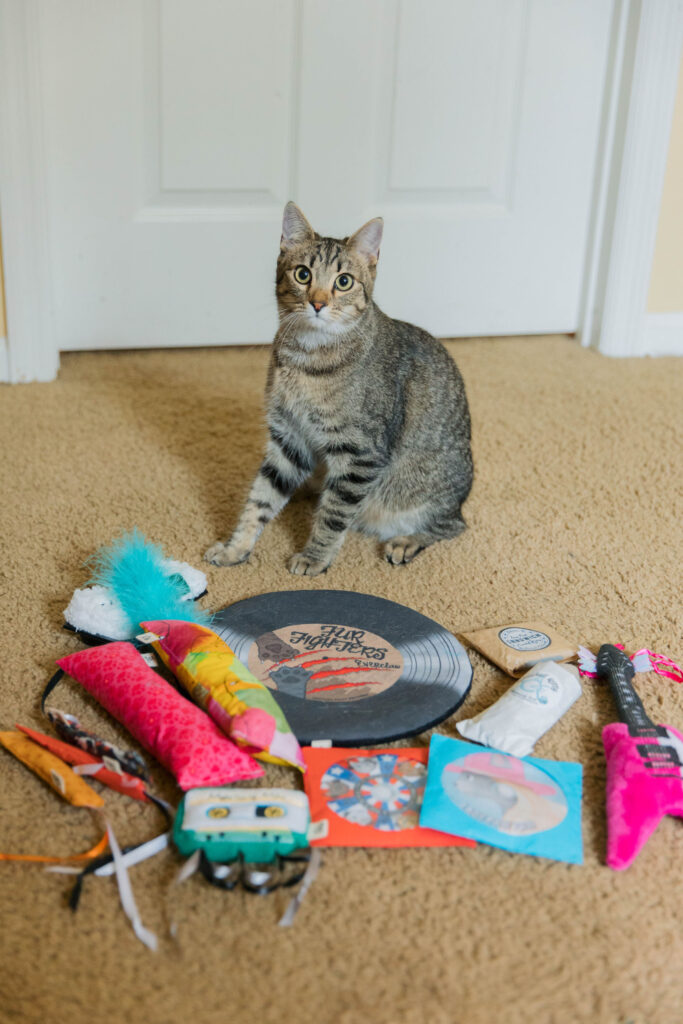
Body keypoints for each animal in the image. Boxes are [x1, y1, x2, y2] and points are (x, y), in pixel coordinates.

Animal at [202, 199, 473, 577]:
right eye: (303, 274)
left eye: (344, 282)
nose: (318, 302)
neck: (308, 358)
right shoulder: (289, 439)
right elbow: (260, 499)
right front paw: (235, 548)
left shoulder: (360, 454)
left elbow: (333, 515)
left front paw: (314, 557)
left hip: (422, 494)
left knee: (452, 525)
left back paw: (406, 541)